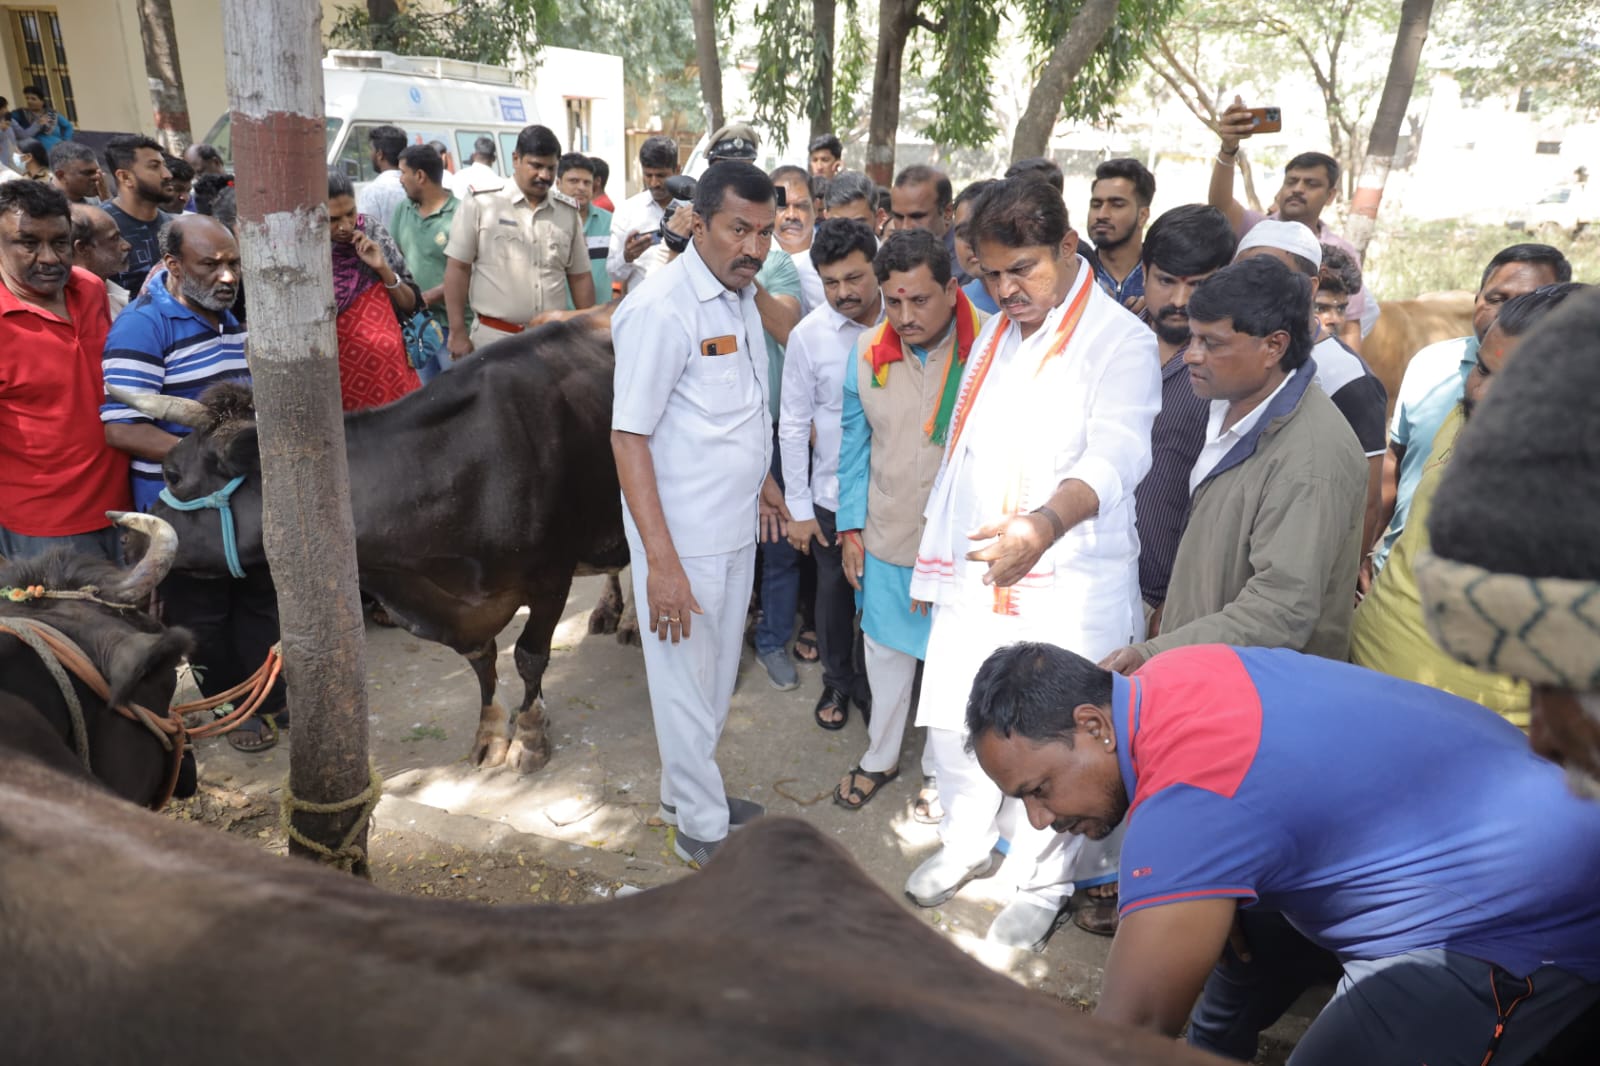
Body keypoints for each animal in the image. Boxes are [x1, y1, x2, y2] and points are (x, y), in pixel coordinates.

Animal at [114, 315, 630, 771]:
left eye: (172, 473)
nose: (127, 542)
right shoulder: (459, 610)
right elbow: (483, 660)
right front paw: (489, 734)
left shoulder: (551, 575)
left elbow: (528, 656)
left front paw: (531, 736)